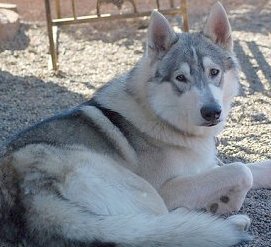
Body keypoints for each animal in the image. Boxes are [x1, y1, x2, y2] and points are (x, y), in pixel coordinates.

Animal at [0, 2, 271, 247]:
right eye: (180, 78)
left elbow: (249, 168)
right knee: (161, 226)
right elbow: (241, 170)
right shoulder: (168, 188)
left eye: (214, 72)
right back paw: (226, 220)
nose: (212, 112)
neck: (161, 117)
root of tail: (24, 199)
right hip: (147, 193)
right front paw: (226, 201)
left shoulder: (205, 164)